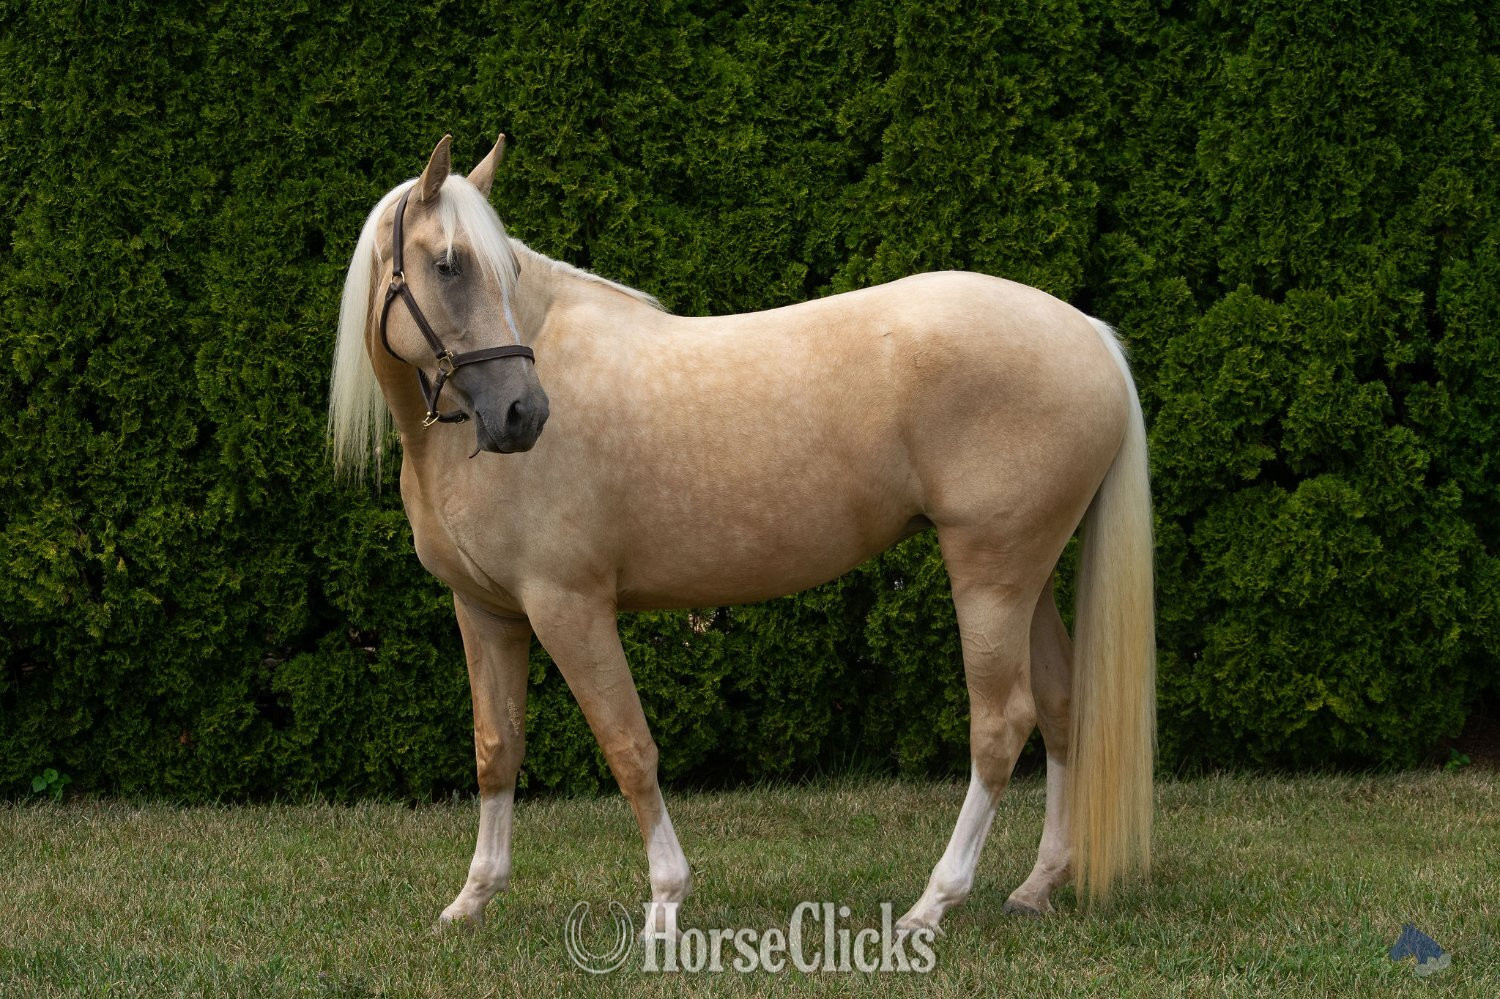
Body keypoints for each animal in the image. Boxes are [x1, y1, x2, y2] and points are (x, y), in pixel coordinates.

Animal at [328, 134, 1155, 938]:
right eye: (449, 265)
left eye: (497, 268)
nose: (522, 414)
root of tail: (1088, 334)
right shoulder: (487, 611)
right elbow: (497, 749)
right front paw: (473, 897)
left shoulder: (569, 606)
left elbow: (628, 746)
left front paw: (665, 901)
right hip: (1027, 575)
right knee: (1060, 705)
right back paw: (1036, 886)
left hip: (989, 573)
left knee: (1001, 722)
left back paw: (933, 902)